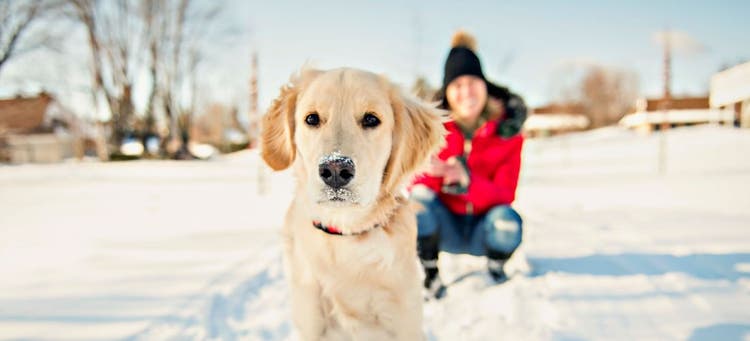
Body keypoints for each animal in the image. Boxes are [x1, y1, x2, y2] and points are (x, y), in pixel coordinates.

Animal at [262, 67, 446, 338]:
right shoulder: (311, 320)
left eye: (371, 119)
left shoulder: (405, 320)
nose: (336, 169)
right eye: (312, 119)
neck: (346, 236)